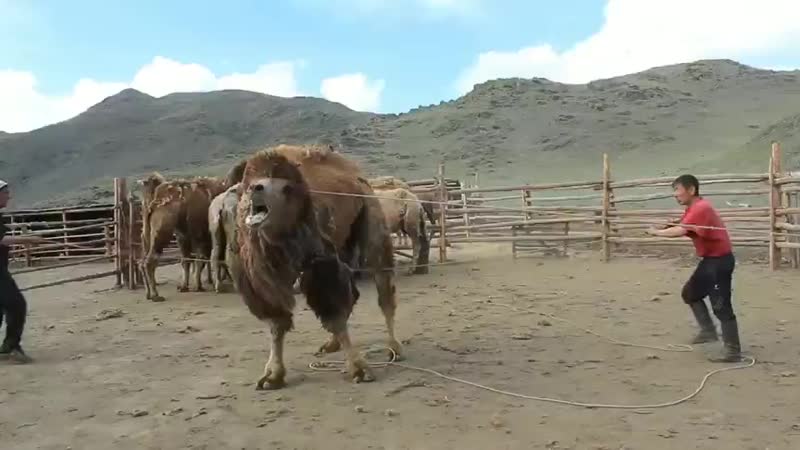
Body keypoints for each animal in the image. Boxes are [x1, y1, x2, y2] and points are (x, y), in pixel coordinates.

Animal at [137, 174, 229, 302]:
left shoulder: (184, 237)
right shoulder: (199, 236)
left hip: (149, 233)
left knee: (142, 262)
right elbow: (200, 260)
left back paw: (149, 294)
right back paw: (156, 295)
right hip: (161, 232)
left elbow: (188, 260)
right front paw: (199, 286)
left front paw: (184, 287)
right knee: (149, 261)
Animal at [228, 143, 402, 390]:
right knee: (353, 294)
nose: (256, 188)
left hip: (371, 217)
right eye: (248, 184)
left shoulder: (320, 262)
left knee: (383, 291)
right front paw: (272, 375)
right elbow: (276, 323)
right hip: (344, 246)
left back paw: (394, 347)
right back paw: (331, 344)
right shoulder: (260, 277)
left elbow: (334, 314)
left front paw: (359, 369)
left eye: (284, 187)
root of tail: (358, 175)